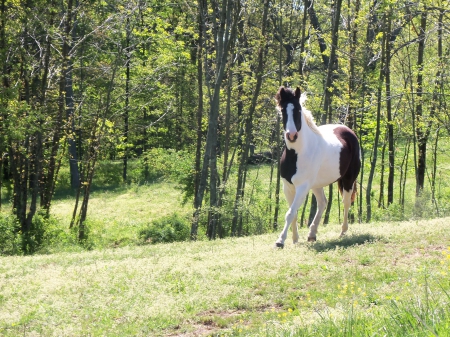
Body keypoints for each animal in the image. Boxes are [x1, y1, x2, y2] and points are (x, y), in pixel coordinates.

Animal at [272, 86, 360, 247]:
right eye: (282, 110)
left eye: (298, 109)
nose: (292, 135)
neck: (297, 154)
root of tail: (348, 131)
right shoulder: (287, 187)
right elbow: (293, 213)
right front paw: (295, 239)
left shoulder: (302, 187)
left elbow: (290, 213)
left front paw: (280, 241)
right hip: (317, 185)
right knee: (323, 203)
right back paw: (312, 234)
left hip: (348, 179)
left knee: (346, 202)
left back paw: (343, 232)